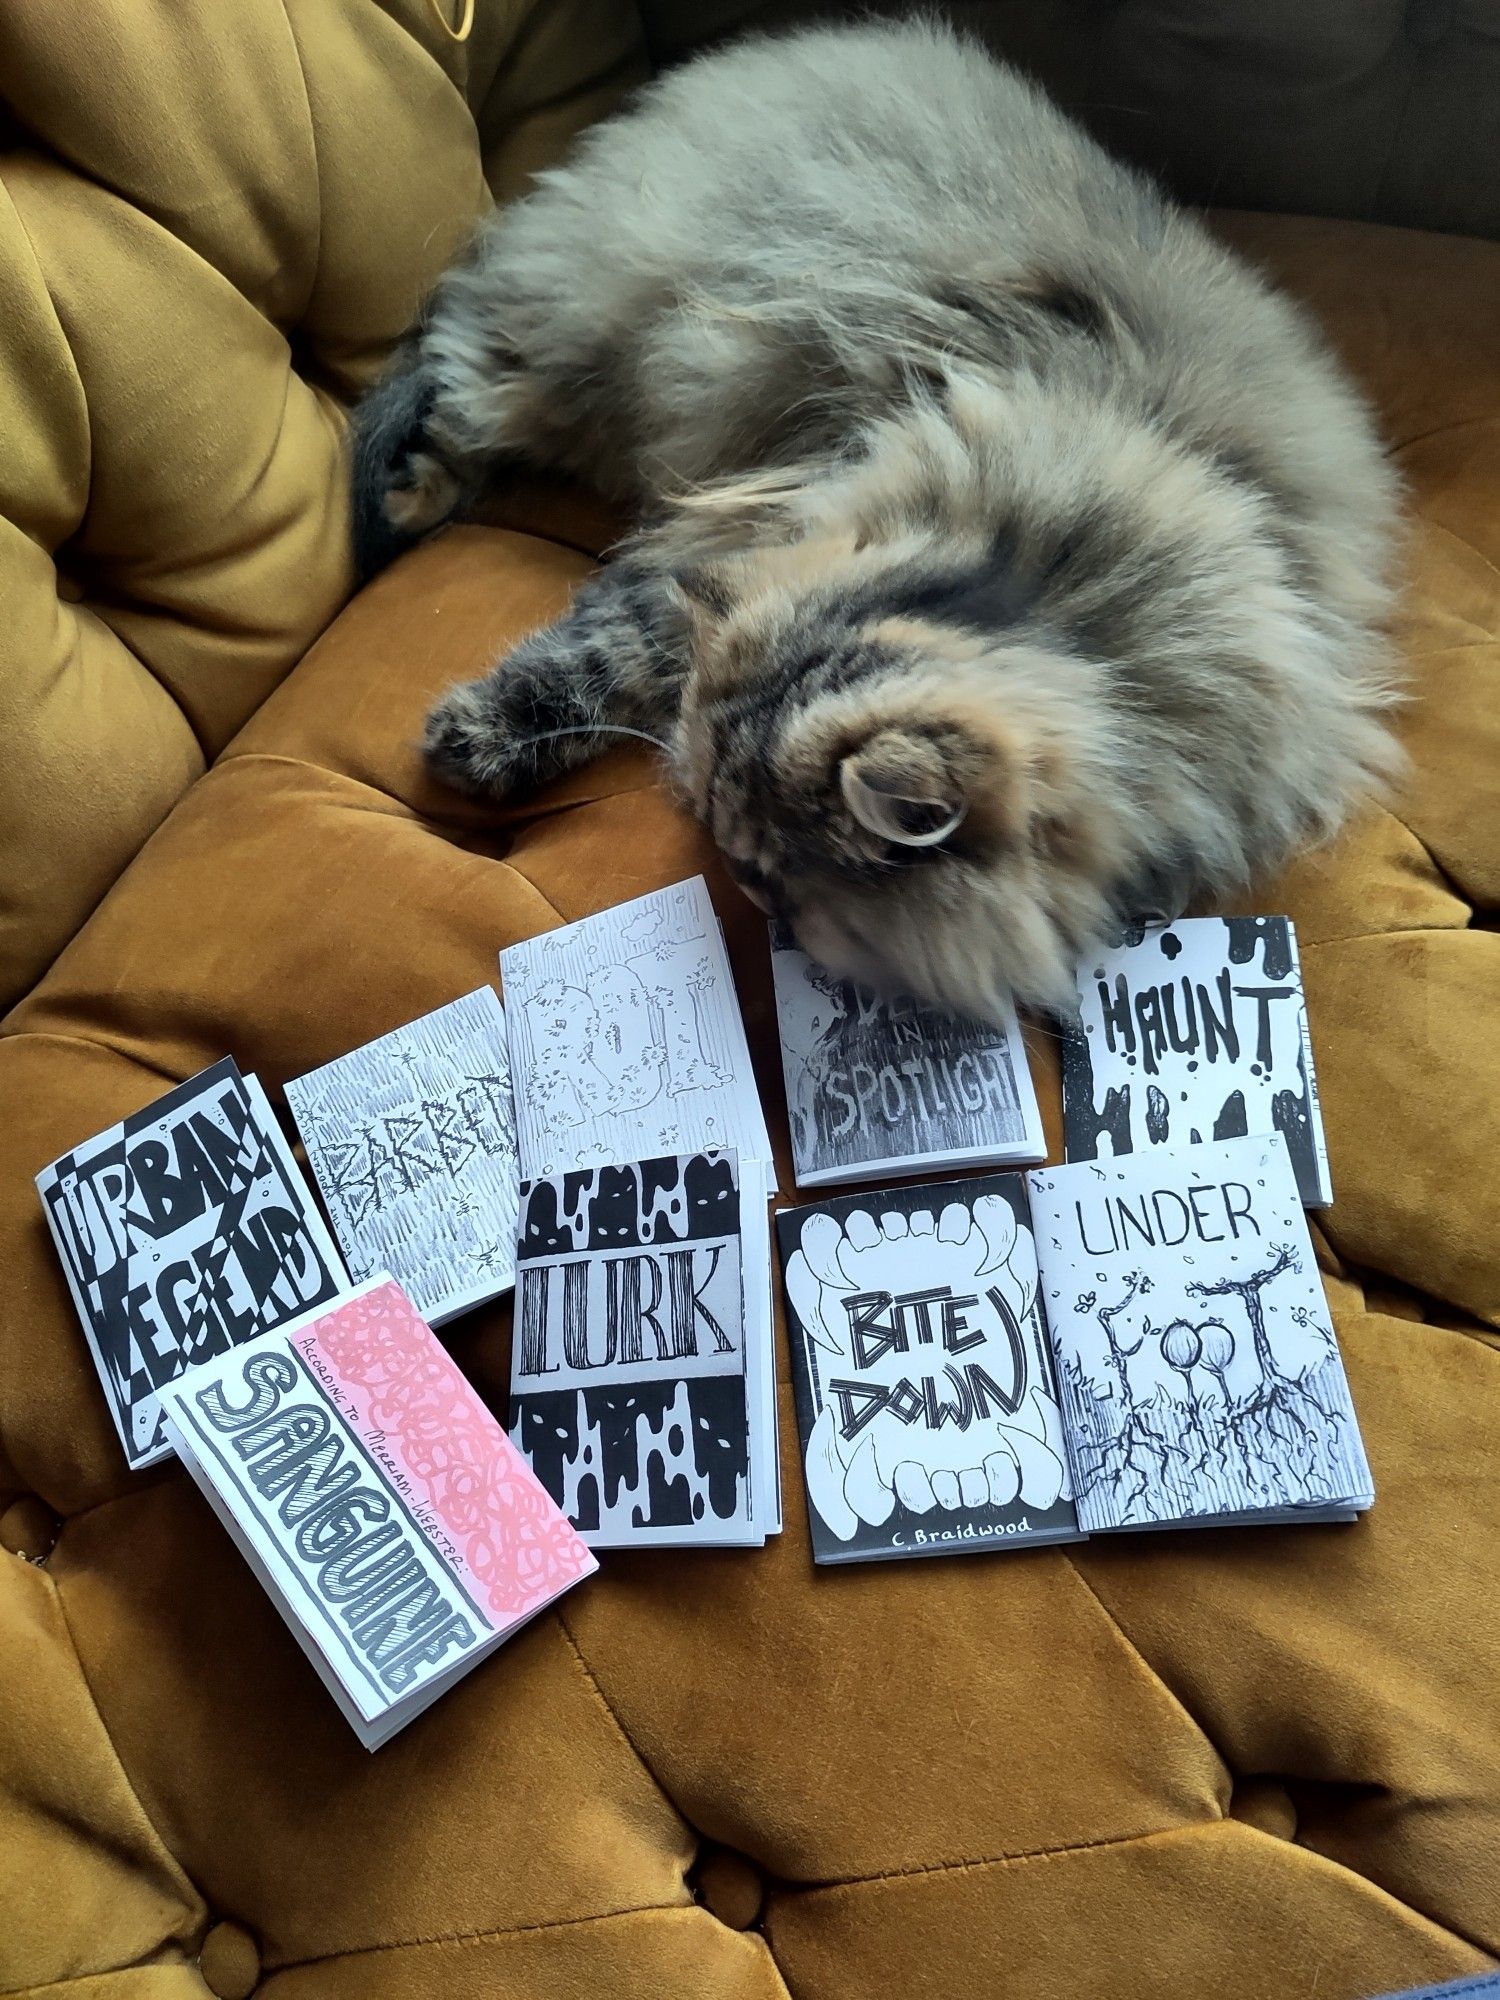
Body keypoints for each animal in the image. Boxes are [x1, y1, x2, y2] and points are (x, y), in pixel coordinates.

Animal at [358, 11, 1408, 1016]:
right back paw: (409, 499)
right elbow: (602, 655)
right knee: (458, 375)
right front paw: (481, 737)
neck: (1072, 592)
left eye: (754, 865)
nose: (724, 868)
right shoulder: (768, 506)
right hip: (589, 337)